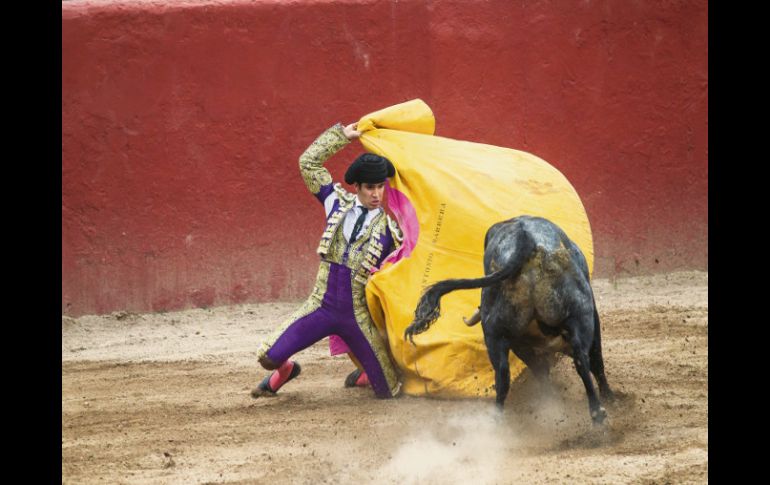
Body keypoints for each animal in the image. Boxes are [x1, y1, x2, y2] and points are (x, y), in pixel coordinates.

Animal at [402, 216, 612, 424]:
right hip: (580, 314)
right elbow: (596, 359)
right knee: (582, 358)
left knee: (504, 375)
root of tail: (524, 238)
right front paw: (610, 396)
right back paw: (598, 409)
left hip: (498, 333)